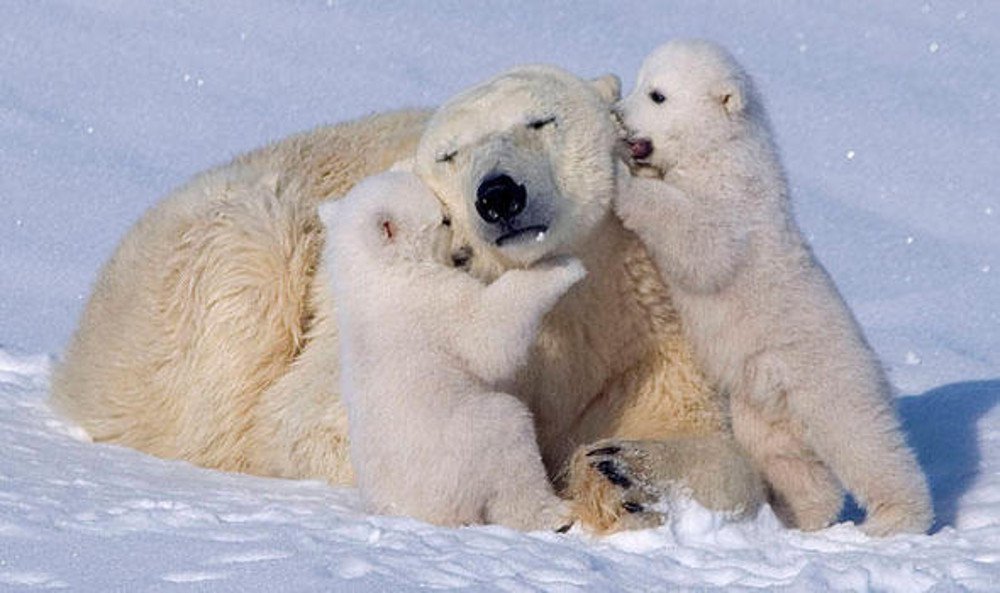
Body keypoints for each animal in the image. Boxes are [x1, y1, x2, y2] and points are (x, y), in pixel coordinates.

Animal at [323, 171, 585, 530]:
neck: (375, 275)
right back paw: (554, 513)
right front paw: (564, 265)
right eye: (445, 220)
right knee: (510, 440)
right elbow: (486, 335)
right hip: (463, 446)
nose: (463, 252)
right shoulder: (432, 299)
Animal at [614, 39, 932, 536]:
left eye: (658, 95)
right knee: (786, 459)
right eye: (640, 81)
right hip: (763, 398)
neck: (720, 149)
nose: (618, 113)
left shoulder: (735, 202)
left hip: (826, 377)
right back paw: (798, 517)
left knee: (864, 441)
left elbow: (701, 242)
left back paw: (894, 518)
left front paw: (618, 179)